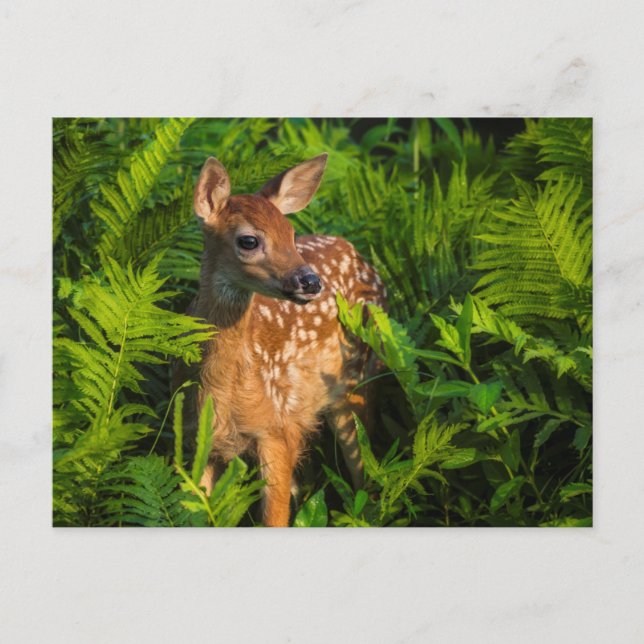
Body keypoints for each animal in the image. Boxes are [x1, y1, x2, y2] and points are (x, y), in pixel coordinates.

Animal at [177, 153, 387, 527]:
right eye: (249, 241)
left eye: (290, 233)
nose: (311, 281)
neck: (223, 391)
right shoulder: (201, 441)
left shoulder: (276, 430)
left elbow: (273, 519)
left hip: (359, 379)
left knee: (365, 470)